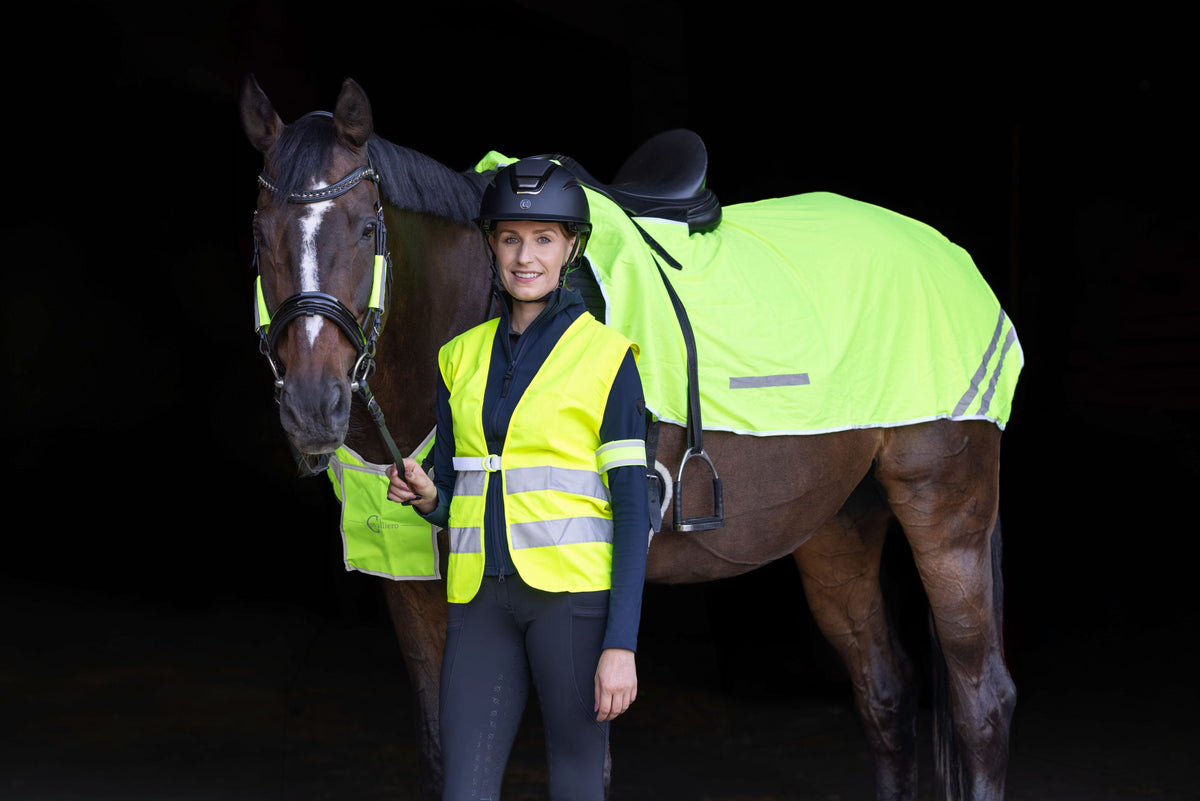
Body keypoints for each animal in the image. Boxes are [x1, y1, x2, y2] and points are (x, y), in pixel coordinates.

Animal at [239, 74, 1018, 801]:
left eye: (366, 229)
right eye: (259, 234)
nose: (313, 404)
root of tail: (948, 255)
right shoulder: (420, 594)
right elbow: (447, 750)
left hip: (946, 513)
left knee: (982, 701)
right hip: (836, 529)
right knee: (885, 693)